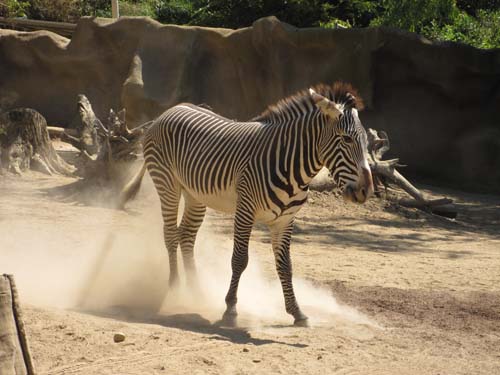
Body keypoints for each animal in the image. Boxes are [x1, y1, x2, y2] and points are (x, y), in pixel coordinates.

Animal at [120, 82, 372, 326]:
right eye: (346, 139)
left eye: (366, 142)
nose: (366, 190)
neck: (292, 167)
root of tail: (171, 110)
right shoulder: (245, 211)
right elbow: (239, 259)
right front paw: (230, 309)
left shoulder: (285, 220)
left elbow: (286, 266)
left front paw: (296, 312)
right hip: (167, 183)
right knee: (171, 233)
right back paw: (175, 288)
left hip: (196, 195)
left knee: (187, 235)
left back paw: (195, 292)